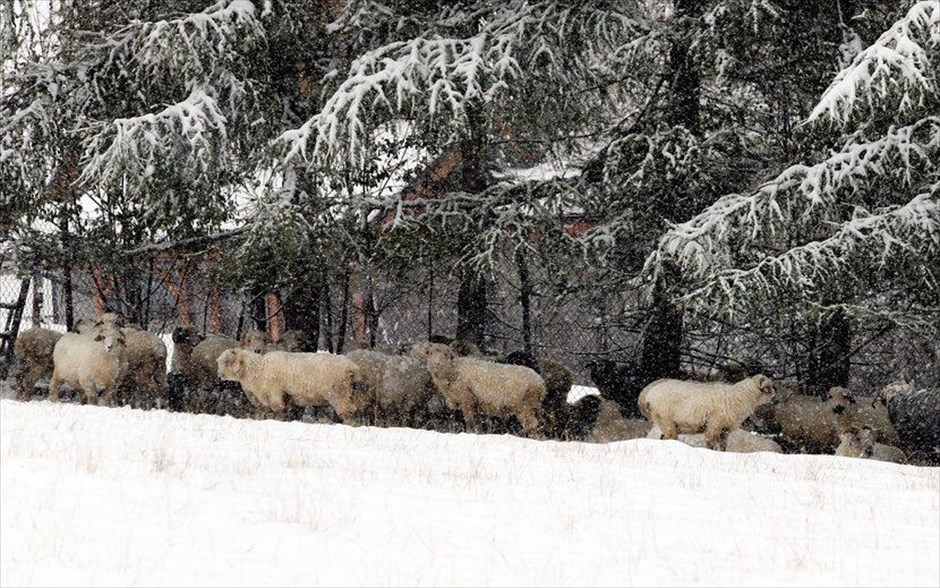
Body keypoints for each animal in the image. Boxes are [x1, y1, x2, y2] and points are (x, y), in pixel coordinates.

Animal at [218, 350, 368, 422]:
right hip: (353, 393)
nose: (219, 375)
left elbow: (278, 410)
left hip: (338, 394)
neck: (259, 369)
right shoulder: (287, 397)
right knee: (358, 410)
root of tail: (352, 367)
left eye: (226, 362)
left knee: (348, 412)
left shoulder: (275, 393)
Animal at [414, 344, 548, 436]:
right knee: (539, 424)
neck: (453, 371)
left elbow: (469, 421)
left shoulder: (467, 398)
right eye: (431, 353)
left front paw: (469, 433)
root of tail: (541, 383)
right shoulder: (476, 403)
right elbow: (477, 423)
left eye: (446, 355)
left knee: (532, 425)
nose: (437, 364)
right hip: (534, 407)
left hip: (526, 405)